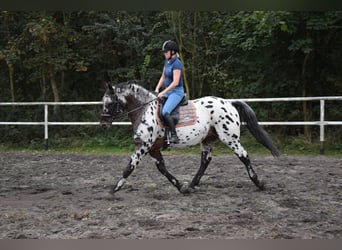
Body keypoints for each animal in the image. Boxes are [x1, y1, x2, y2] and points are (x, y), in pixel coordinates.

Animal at [99, 80, 280, 193]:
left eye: (110, 103)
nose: (103, 124)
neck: (144, 110)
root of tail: (229, 103)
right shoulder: (153, 148)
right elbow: (162, 169)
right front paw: (181, 187)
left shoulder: (143, 146)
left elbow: (129, 167)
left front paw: (113, 190)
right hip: (207, 140)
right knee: (205, 161)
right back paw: (192, 185)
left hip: (230, 138)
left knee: (244, 156)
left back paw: (258, 182)